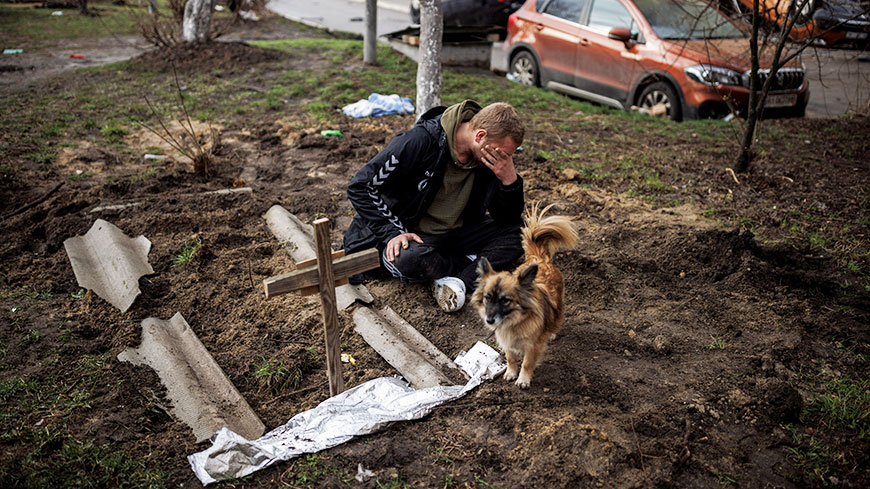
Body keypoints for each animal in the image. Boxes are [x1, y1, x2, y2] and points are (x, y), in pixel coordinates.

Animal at [470, 204, 580, 386]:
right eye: (487, 298)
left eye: (505, 300)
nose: (489, 320)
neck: (514, 321)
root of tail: (539, 259)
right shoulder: (506, 342)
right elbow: (510, 358)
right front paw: (511, 372)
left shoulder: (533, 346)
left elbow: (527, 363)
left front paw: (523, 379)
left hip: (558, 306)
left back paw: (551, 332)